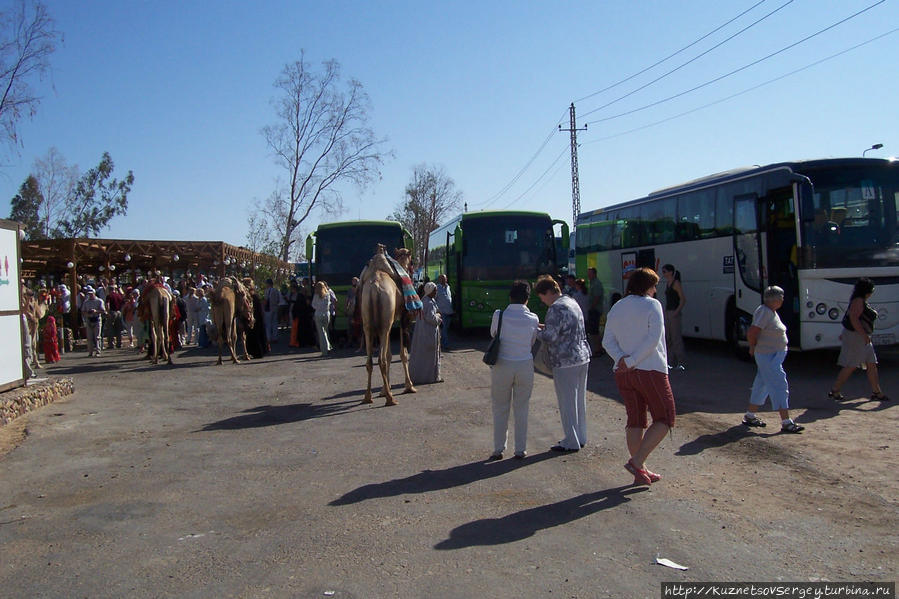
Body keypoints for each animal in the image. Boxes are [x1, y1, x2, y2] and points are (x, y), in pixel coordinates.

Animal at [360, 245, 416, 408]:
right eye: (411, 260)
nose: (412, 271)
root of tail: (374, 288)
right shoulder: (403, 318)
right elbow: (403, 354)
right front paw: (409, 386)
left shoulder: (390, 324)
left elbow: (391, 354)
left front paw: (384, 390)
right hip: (385, 323)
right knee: (381, 359)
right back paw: (390, 399)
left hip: (370, 325)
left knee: (370, 361)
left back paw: (368, 397)